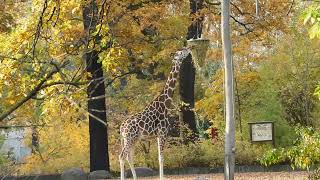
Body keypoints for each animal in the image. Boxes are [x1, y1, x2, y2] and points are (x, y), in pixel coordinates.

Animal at [119, 48, 190, 180]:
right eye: (181, 52)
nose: (188, 49)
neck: (165, 104)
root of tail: (121, 127)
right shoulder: (162, 133)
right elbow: (161, 158)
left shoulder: (158, 135)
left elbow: (159, 158)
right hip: (129, 138)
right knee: (122, 157)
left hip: (133, 139)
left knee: (129, 157)